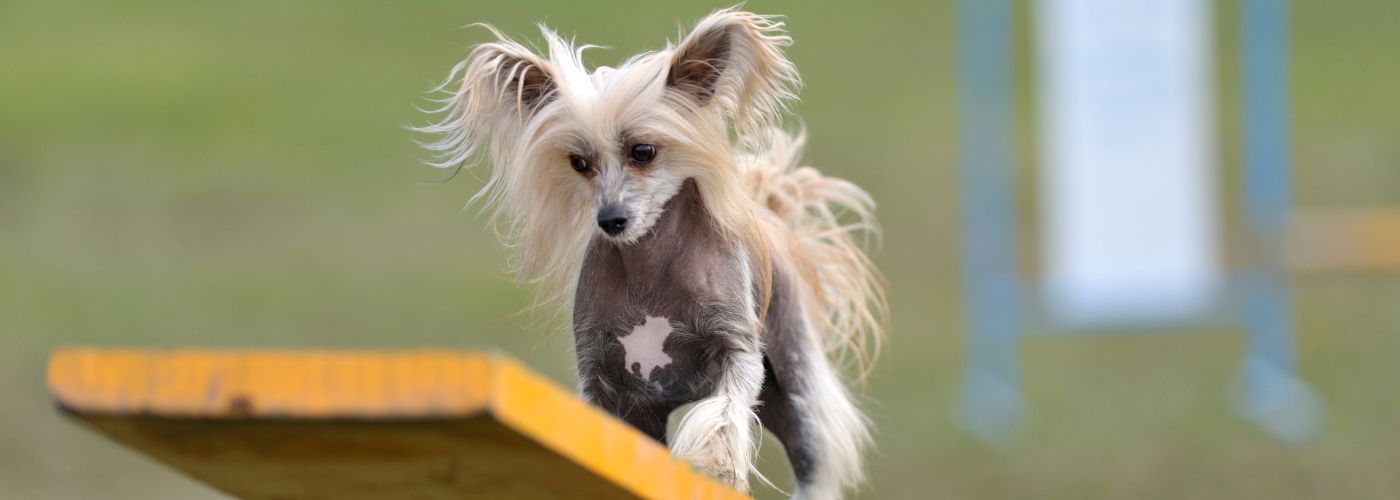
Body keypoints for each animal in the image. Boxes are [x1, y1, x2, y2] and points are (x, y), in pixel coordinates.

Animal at [414, 8, 890, 498]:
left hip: (792, 384)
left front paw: (714, 464)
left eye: (643, 151)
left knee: (812, 454)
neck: (651, 269)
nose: (611, 220)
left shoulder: (736, 348)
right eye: (579, 163)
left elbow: (724, 411)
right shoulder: (606, 381)